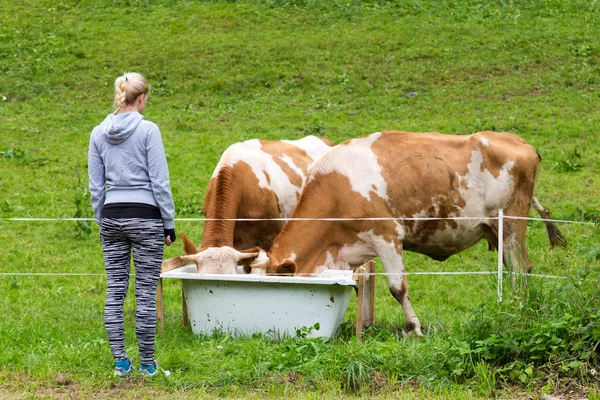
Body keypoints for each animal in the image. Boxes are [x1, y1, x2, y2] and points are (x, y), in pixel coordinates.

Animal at [250, 130, 568, 334]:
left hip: (512, 224)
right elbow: (361, 286)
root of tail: (518, 141)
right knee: (517, 269)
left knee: (520, 268)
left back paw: (518, 310)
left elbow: (397, 287)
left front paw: (414, 328)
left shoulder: (386, 235)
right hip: (500, 231)